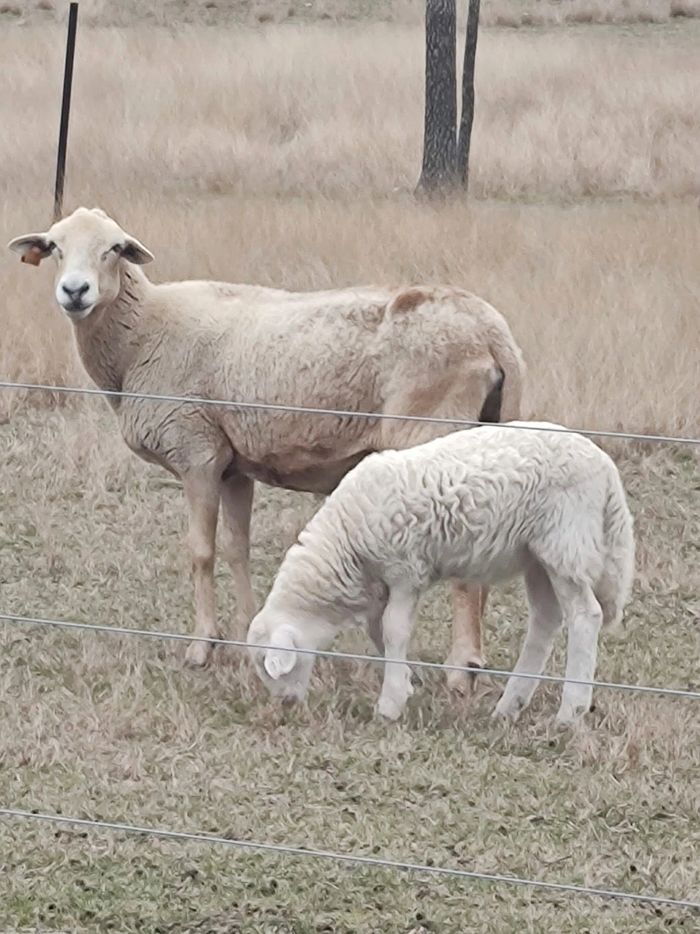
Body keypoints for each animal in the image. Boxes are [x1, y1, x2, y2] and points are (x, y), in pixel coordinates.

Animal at [9, 206, 524, 688]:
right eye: (54, 247)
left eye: (114, 248)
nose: (75, 291)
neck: (142, 331)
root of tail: (494, 332)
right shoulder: (232, 464)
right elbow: (237, 548)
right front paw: (245, 635)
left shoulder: (196, 451)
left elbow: (201, 551)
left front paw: (202, 646)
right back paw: (474, 659)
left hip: (430, 432)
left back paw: (460, 668)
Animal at [247, 422, 635, 725]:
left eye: (270, 668)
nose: (284, 707)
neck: (345, 541)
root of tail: (605, 468)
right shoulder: (383, 583)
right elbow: (378, 632)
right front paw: (405, 681)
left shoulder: (404, 570)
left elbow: (393, 630)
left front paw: (390, 704)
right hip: (537, 555)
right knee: (546, 619)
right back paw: (510, 706)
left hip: (565, 543)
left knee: (585, 616)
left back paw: (570, 713)